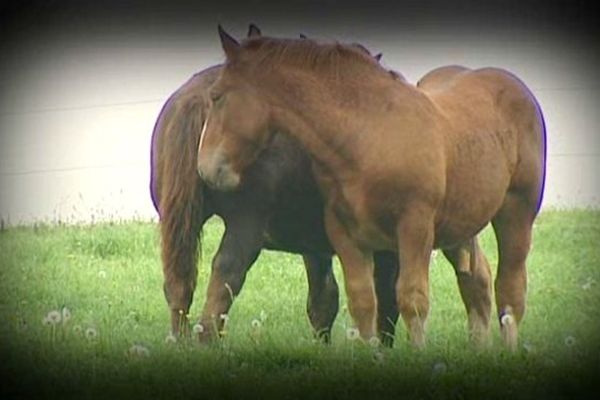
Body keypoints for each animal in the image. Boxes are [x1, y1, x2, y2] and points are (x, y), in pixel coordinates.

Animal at [150, 24, 400, 344]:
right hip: (246, 224)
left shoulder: (315, 244)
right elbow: (386, 304)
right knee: (224, 278)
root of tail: (197, 97)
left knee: (179, 283)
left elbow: (323, 301)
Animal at [199, 26, 548, 350]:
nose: (206, 169)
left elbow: (412, 299)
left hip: (516, 213)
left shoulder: (415, 227)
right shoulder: (345, 231)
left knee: (510, 289)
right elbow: (363, 301)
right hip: (463, 223)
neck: (368, 135)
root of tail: (516, 87)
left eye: (216, 95)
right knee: (478, 279)